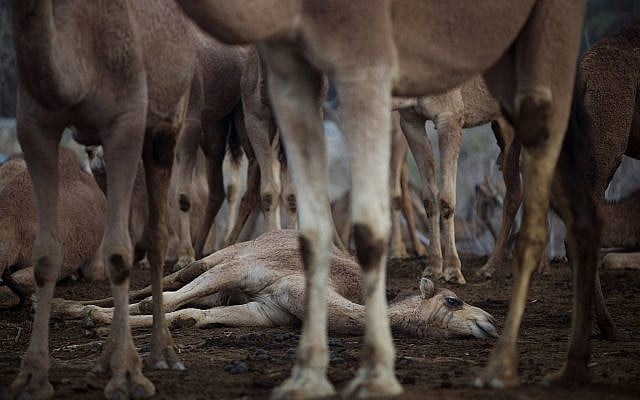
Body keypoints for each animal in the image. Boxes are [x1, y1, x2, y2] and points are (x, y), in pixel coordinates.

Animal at [176, 1, 592, 398]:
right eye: (452, 302)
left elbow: (444, 196)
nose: (488, 320)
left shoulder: (449, 117)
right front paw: (432, 266)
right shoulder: (409, 119)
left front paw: (453, 269)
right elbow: (427, 196)